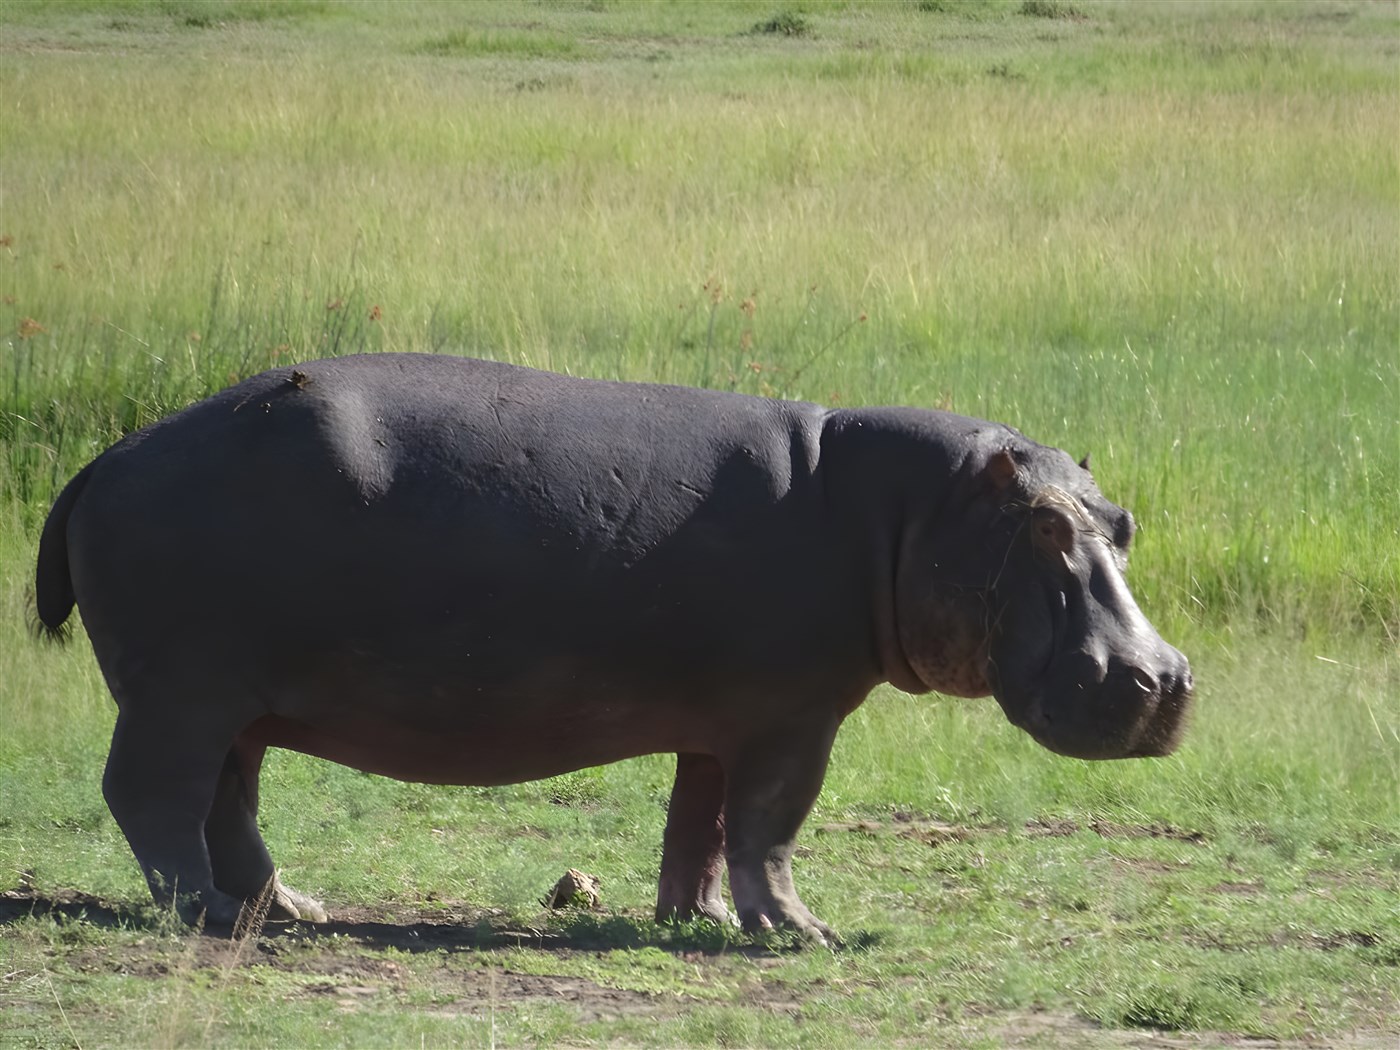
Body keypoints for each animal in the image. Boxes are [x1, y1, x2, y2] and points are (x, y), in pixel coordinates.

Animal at [34, 353, 1192, 943]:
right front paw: (799, 932)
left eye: (1123, 523)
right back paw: (208, 916)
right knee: (156, 795)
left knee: (229, 800)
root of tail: (108, 458)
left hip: (233, 698)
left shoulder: (725, 720)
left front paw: (696, 921)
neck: (910, 510)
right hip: (182, 693)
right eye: (1042, 530)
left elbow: (701, 823)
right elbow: (770, 825)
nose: (1160, 679)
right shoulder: (794, 716)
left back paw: (287, 910)